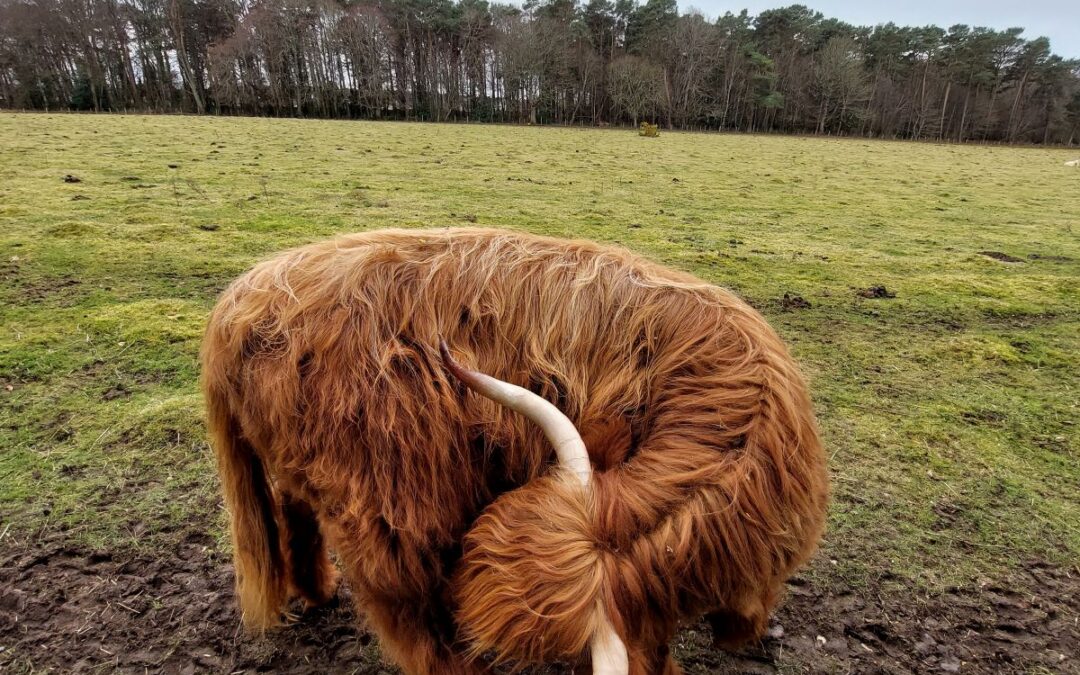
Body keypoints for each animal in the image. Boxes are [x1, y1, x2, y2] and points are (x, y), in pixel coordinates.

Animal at [200, 227, 825, 673]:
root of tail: (238, 302)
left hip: (300, 472)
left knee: (295, 515)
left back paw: (318, 593)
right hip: (386, 516)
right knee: (411, 626)